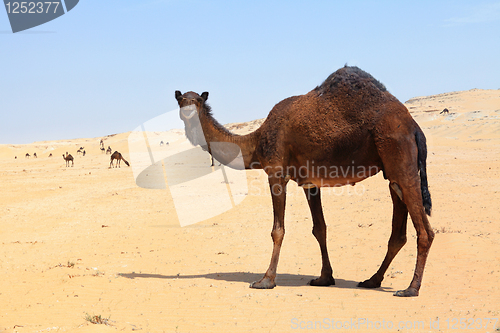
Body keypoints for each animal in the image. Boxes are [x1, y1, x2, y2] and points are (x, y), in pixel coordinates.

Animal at [175, 65, 434, 296]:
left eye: (197, 101)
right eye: (181, 101)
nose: (188, 113)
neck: (257, 142)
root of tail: (414, 127)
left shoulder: (276, 173)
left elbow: (277, 230)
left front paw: (266, 280)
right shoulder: (310, 182)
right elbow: (320, 228)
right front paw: (324, 278)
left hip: (399, 154)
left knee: (425, 230)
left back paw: (411, 288)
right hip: (391, 172)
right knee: (398, 230)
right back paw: (372, 280)